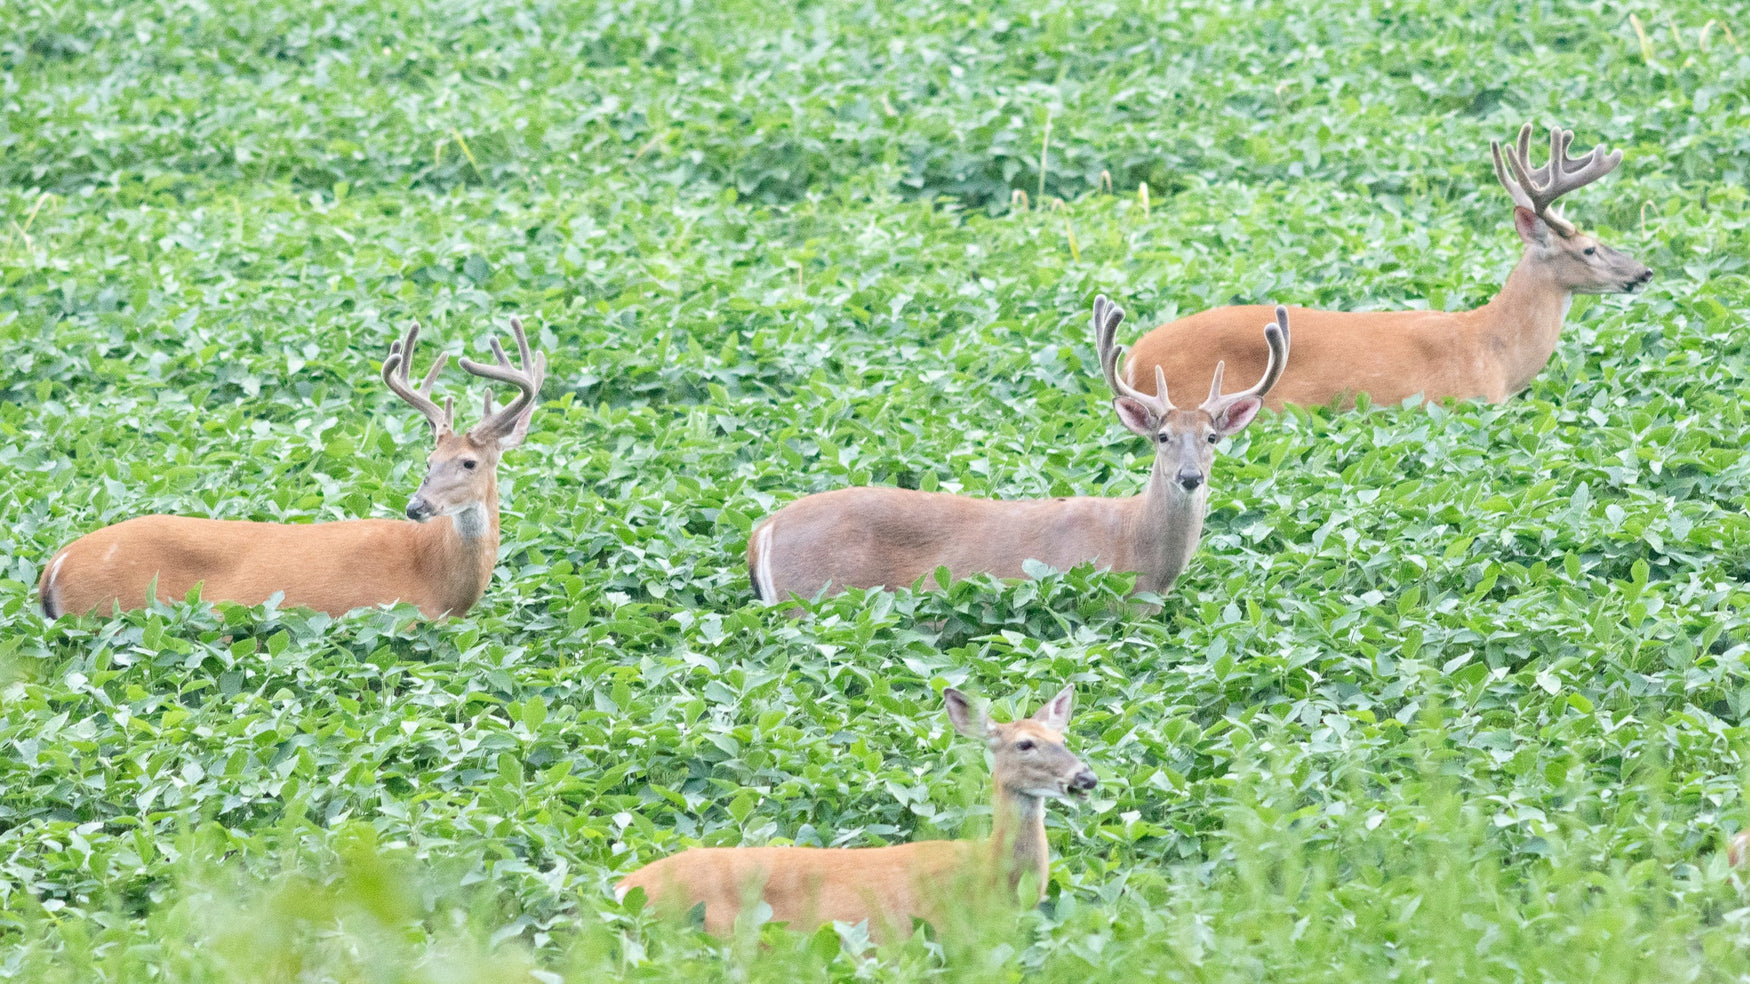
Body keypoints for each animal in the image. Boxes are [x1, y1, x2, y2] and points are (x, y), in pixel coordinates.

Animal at [746, 296, 1289, 604]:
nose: (1191, 477)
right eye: (1162, 437)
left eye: (1212, 438)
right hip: (814, 596)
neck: (1137, 549)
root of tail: (761, 532)